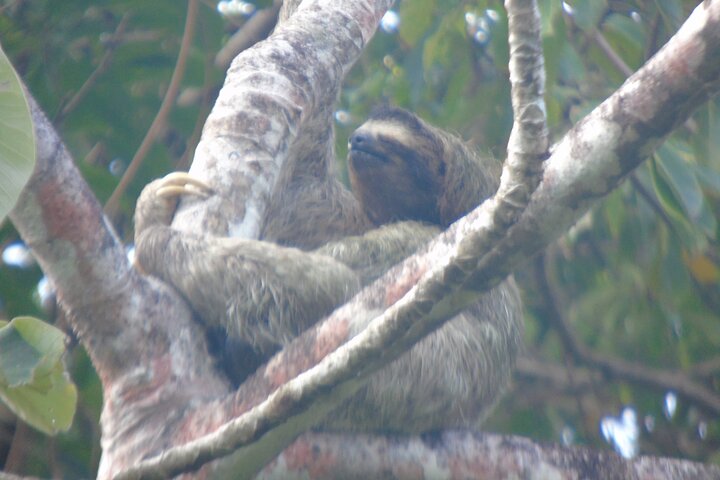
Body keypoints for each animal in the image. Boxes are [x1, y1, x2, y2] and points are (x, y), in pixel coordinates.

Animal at [133, 106, 523, 433]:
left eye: (389, 142)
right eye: (362, 134)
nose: (358, 139)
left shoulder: (414, 238)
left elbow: (328, 278)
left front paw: (151, 235)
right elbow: (302, 192)